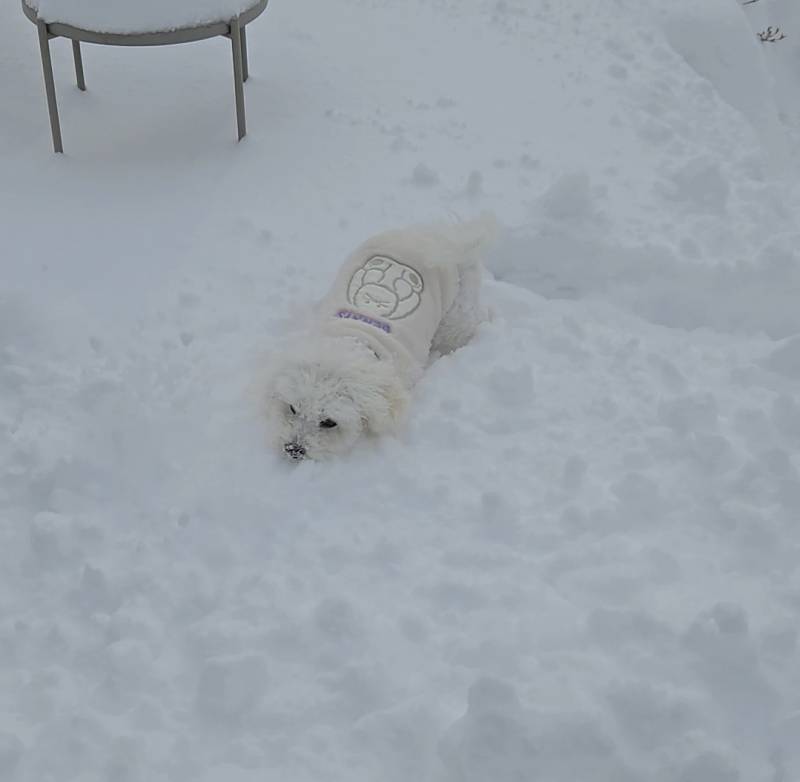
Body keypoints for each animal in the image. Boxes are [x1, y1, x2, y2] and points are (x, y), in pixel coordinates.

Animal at [264, 216, 494, 460]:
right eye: (292, 408)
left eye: (328, 422)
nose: (293, 449)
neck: (354, 339)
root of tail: (447, 236)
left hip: (459, 308)